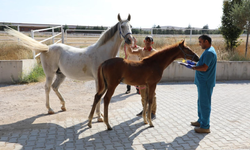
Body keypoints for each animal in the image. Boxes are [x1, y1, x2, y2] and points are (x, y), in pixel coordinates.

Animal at [5, 14, 134, 122]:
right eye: (122, 26)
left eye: (131, 26)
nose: (130, 40)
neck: (102, 53)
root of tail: (47, 48)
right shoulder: (98, 80)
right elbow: (98, 95)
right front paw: (99, 117)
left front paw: (99, 115)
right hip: (50, 74)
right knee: (47, 88)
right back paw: (50, 109)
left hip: (61, 74)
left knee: (55, 87)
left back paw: (63, 106)